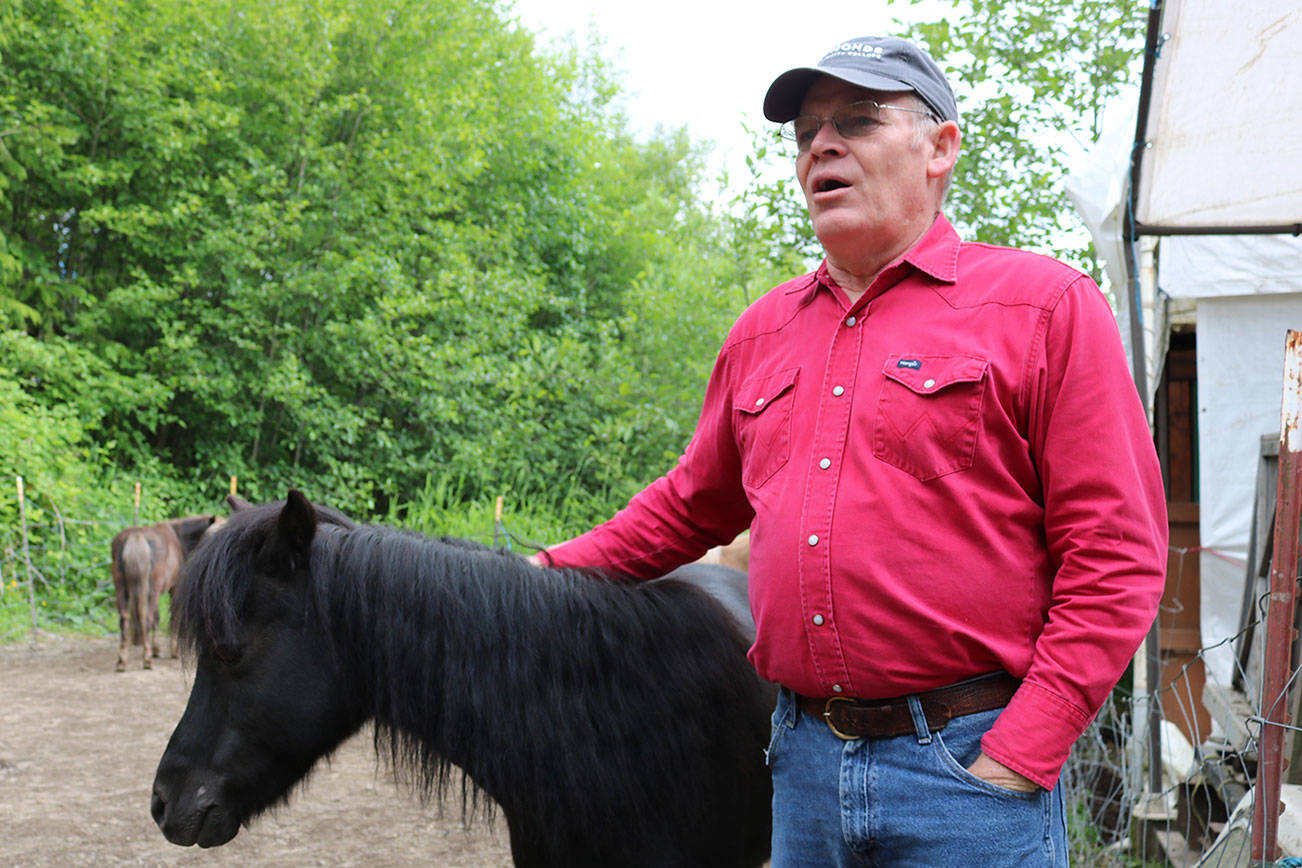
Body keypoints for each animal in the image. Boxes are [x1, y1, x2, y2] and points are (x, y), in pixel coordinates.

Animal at [114, 515, 223, 671]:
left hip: (122, 590)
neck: (178, 536)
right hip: (150, 592)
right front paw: (174, 651)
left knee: (124, 621)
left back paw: (122, 661)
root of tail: (136, 537)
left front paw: (156, 650)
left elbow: (157, 618)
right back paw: (147, 660)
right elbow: (173, 618)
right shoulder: (174, 589)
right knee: (146, 619)